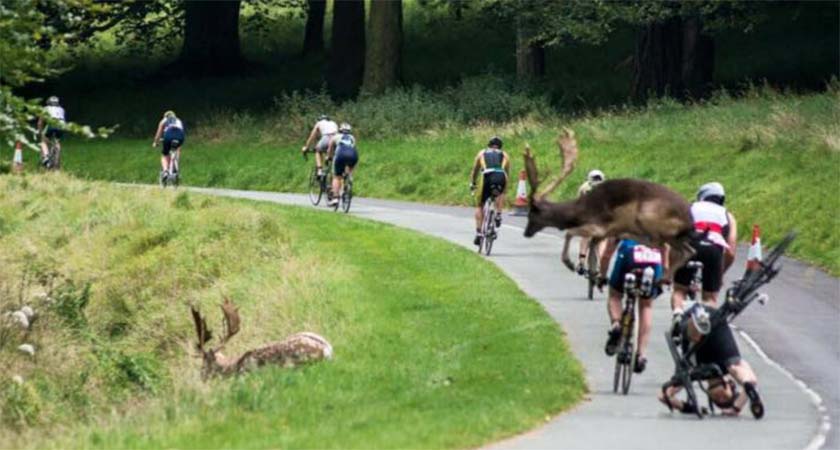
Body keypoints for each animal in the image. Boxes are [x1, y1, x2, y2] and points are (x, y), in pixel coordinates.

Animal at [524, 128, 696, 280]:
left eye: (531, 213)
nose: (526, 232)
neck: (579, 212)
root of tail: (689, 219)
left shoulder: (598, 225)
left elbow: (569, 233)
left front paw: (570, 263)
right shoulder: (603, 233)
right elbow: (592, 248)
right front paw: (595, 273)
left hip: (648, 218)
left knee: (661, 245)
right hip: (673, 236)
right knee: (688, 250)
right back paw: (664, 277)